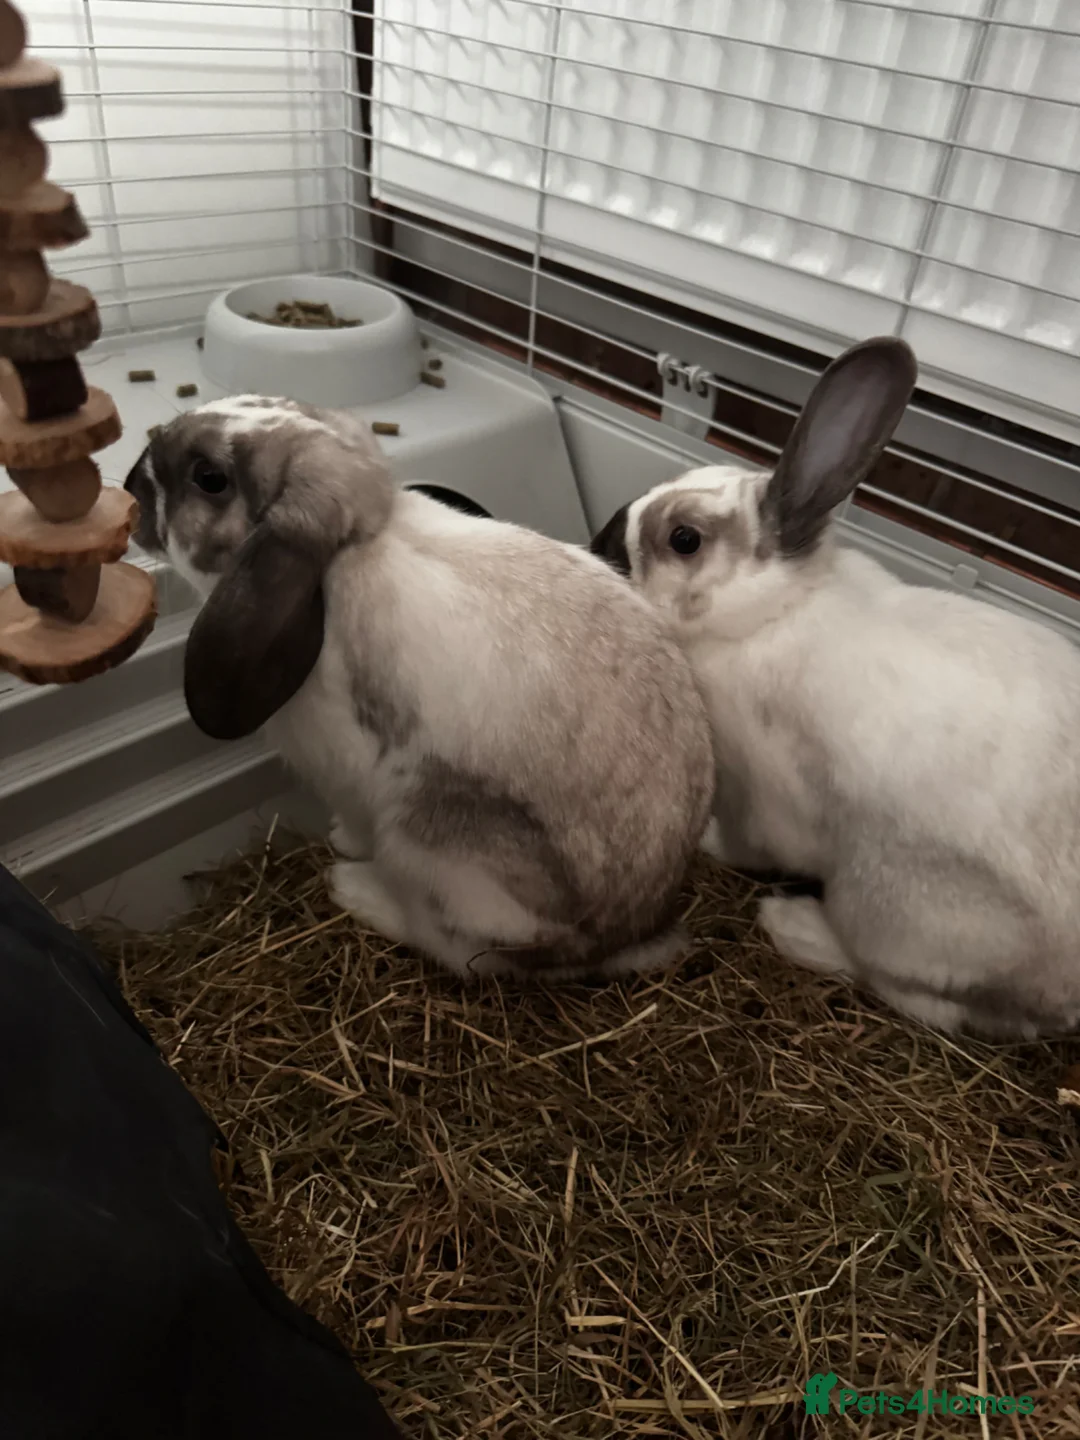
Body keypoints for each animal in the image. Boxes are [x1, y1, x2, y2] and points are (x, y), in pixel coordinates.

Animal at [124, 395, 715, 981]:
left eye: (209, 478)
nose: (130, 489)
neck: (356, 546)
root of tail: (625, 937)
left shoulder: (343, 769)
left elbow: (356, 820)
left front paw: (342, 842)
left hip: (432, 846)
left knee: (461, 952)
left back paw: (355, 889)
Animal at [589, 336, 1080, 1039]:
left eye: (684, 539)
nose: (601, 542)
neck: (771, 611)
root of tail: (1066, 996)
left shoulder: (760, 796)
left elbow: (748, 843)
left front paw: (708, 843)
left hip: (892, 911)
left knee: (916, 996)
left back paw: (793, 926)